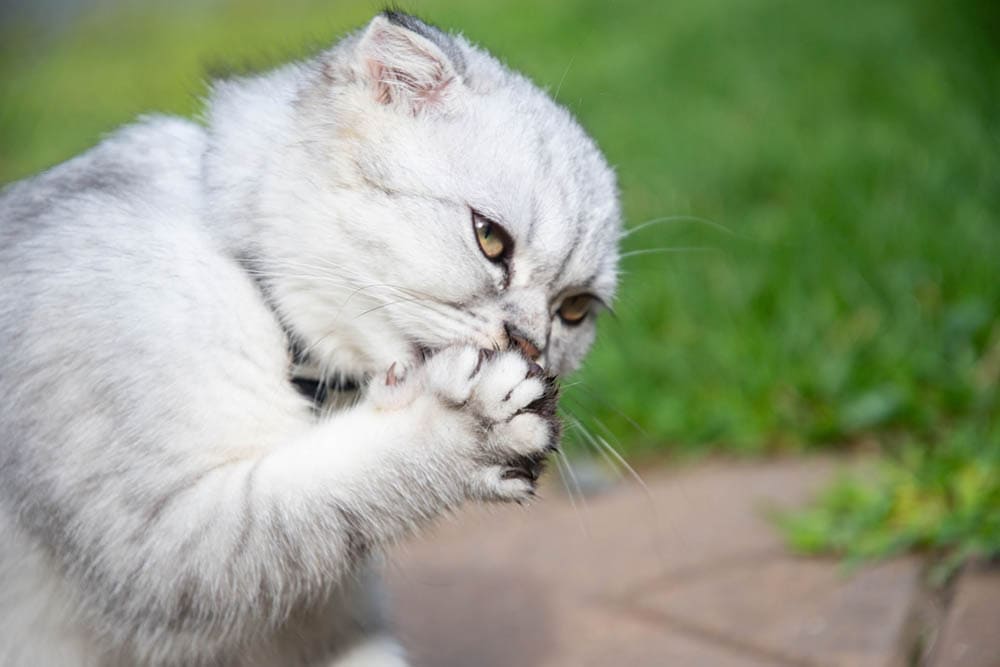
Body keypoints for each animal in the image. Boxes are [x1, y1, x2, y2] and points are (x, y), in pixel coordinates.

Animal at [0, 11, 620, 667]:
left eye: (574, 310)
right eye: (490, 238)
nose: (529, 346)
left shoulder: (341, 628)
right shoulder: (162, 548)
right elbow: (332, 498)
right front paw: (471, 427)